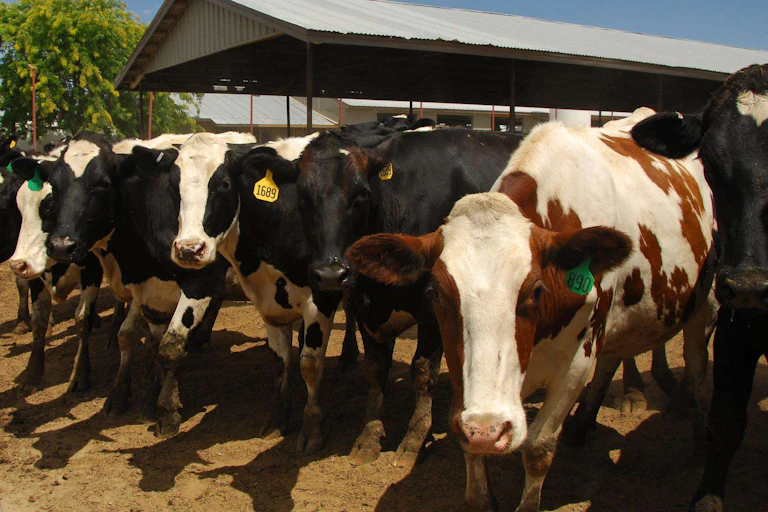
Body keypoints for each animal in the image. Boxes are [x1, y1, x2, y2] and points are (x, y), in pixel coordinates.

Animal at [294, 128, 523, 467]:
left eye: (361, 194)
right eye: (303, 196)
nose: (331, 274)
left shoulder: (433, 308)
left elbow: (422, 372)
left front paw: (414, 440)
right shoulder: (364, 305)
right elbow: (376, 370)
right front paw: (369, 436)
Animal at [347, 115, 716, 511]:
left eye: (536, 290)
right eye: (435, 292)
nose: (488, 431)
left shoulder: (576, 361)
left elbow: (538, 447)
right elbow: (470, 447)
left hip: (705, 310)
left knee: (697, 365)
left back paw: (698, 442)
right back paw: (582, 426)